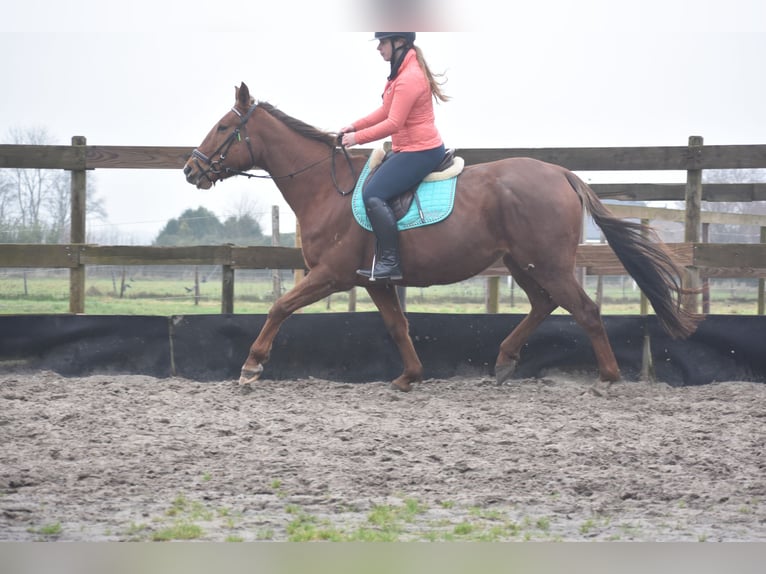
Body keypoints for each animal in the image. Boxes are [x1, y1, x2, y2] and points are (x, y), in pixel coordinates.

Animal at [184, 83, 704, 394]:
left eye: (225, 127)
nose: (191, 169)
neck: (327, 188)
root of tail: (560, 172)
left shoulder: (331, 275)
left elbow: (279, 307)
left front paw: (251, 367)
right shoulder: (374, 280)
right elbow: (397, 326)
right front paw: (409, 376)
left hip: (548, 262)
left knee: (586, 311)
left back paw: (608, 377)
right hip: (521, 262)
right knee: (543, 304)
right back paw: (505, 360)